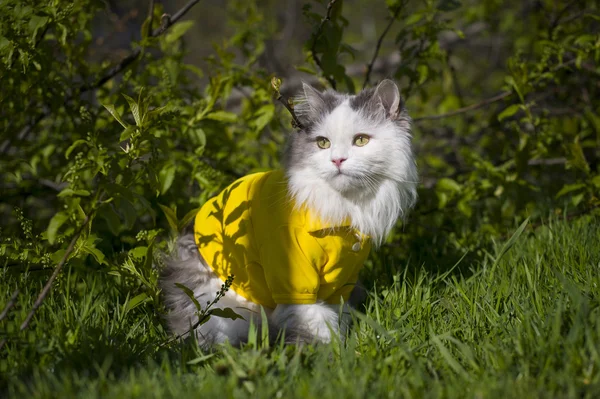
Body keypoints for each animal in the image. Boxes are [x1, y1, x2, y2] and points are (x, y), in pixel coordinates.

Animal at [159, 79, 418, 346]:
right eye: (323, 143)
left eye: (361, 140)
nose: (337, 160)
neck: (343, 209)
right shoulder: (296, 285)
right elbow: (321, 330)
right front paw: (333, 352)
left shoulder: (341, 285)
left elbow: (339, 318)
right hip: (226, 308)